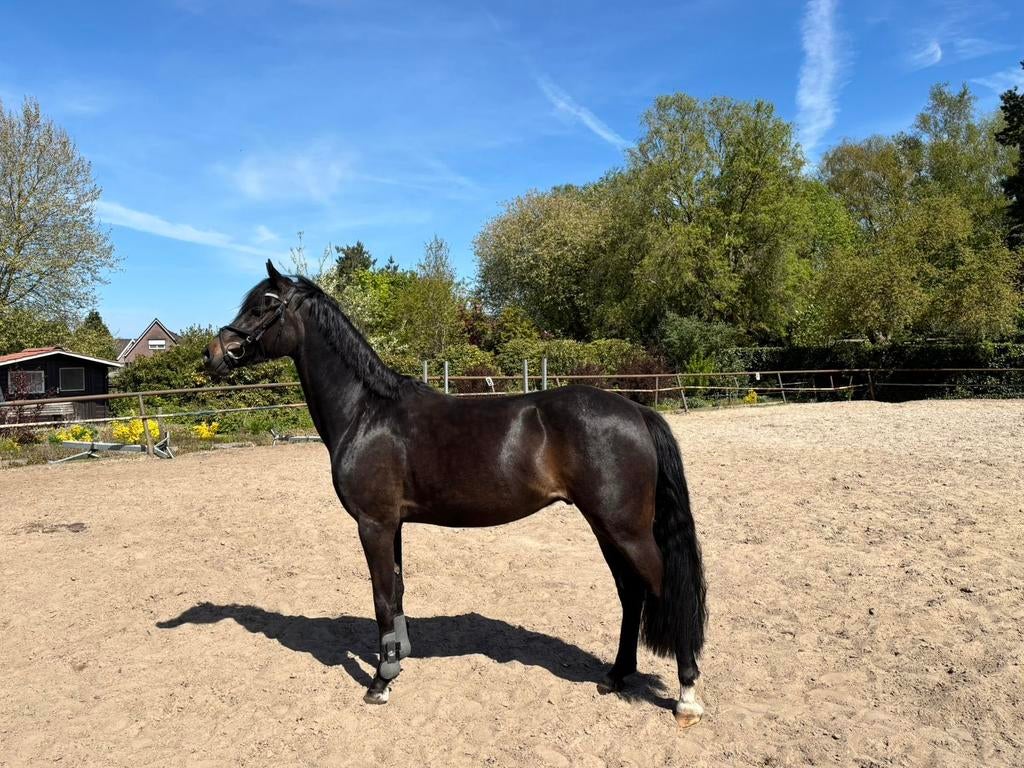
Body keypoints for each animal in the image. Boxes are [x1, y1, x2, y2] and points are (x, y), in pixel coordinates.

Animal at [204, 261, 708, 726]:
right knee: (631, 593)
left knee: (664, 590)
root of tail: (637, 411)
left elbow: (381, 596)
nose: (214, 354)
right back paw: (616, 675)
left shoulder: (373, 524)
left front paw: (380, 682)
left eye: (265, 305)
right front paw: (398, 659)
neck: (366, 413)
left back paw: (686, 695)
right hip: (606, 528)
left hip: (625, 530)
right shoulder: (393, 524)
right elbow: (398, 589)